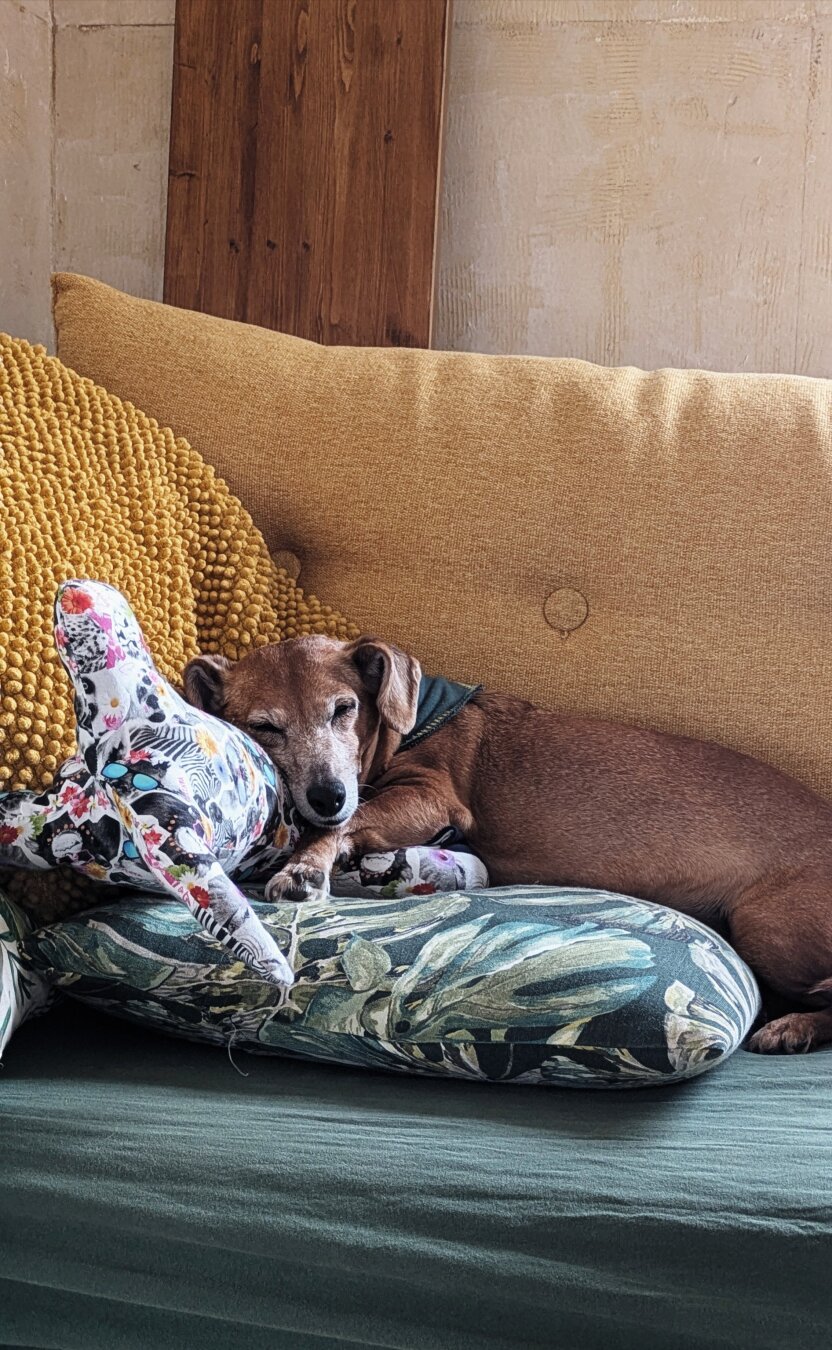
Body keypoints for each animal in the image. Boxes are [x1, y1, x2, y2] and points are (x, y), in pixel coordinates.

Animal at [185, 637, 832, 1058]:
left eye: (344, 709)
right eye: (265, 727)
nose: (327, 795)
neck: (409, 725)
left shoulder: (431, 797)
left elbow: (345, 826)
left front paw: (306, 866)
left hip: (764, 920)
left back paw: (794, 1027)